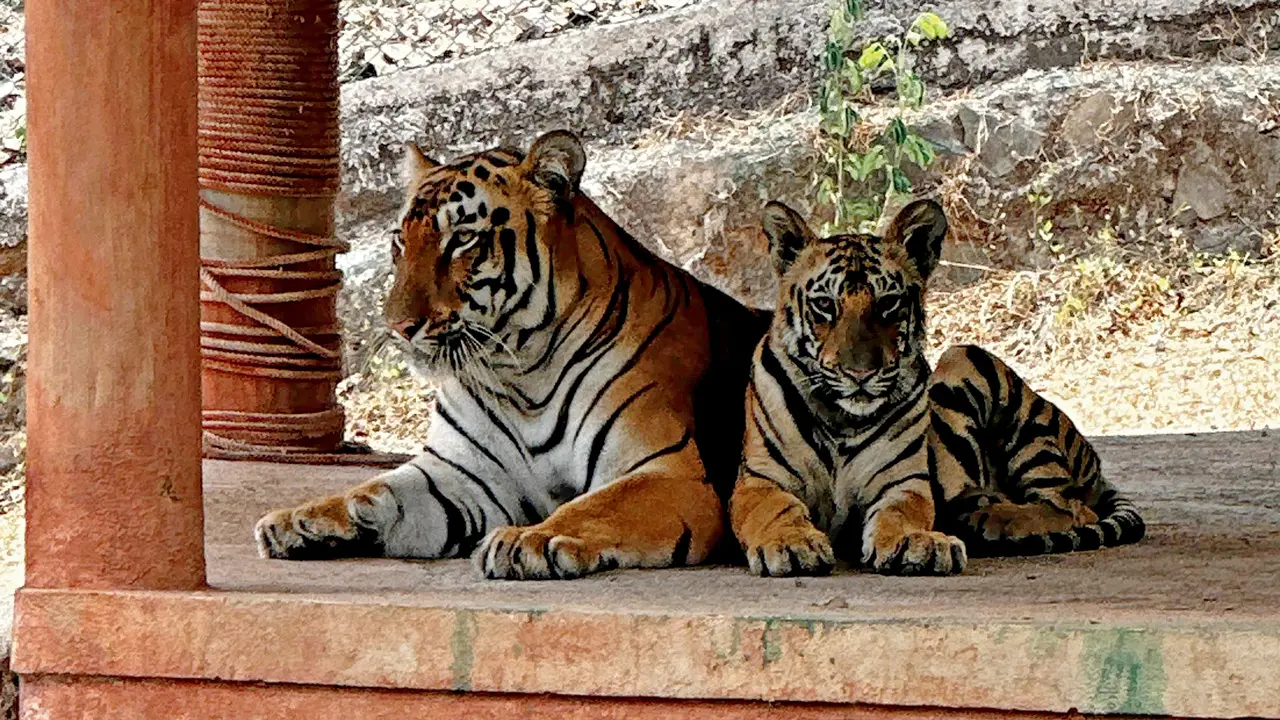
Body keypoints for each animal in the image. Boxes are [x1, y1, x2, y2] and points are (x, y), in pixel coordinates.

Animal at [253, 129, 769, 579]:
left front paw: (527, 540)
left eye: (461, 238)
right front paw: (300, 519)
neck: (521, 373)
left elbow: (590, 506)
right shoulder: (458, 474)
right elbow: (379, 489)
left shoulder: (668, 473)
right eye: (400, 240)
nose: (397, 326)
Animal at [729, 198, 1145, 577]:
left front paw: (915, 543)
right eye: (825, 305)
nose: (860, 373)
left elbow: (902, 512)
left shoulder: (902, 481)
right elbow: (775, 509)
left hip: (975, 369)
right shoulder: (761, 478)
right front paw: (791, 543)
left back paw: (992, 522)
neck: (843, 418)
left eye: (888, 303)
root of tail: (1093, 462)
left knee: (1069, 506)